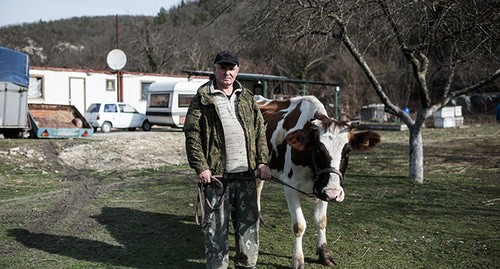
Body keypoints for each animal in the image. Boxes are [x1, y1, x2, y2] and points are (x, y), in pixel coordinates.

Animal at [256, 95, 380, 266]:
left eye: (348, 151)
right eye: (318, 150)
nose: (335, 193)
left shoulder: (324, 188)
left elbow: (321, 220)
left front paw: (324, 254)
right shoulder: (290, 186)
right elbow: (299, 225)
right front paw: (298, 259)